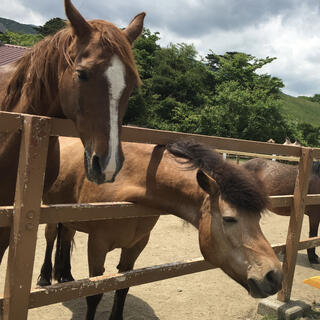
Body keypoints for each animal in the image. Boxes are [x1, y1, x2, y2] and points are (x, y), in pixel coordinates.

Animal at [40, 139, 282, 320]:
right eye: (229, 218)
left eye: (258, 218)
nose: (274, 276)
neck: (128, 181)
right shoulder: (97, 245)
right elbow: (94, 294)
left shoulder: (136, 246)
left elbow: (123, 287)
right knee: (51, 237)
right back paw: (44, 278)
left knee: (66, 236)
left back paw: (66, 276)